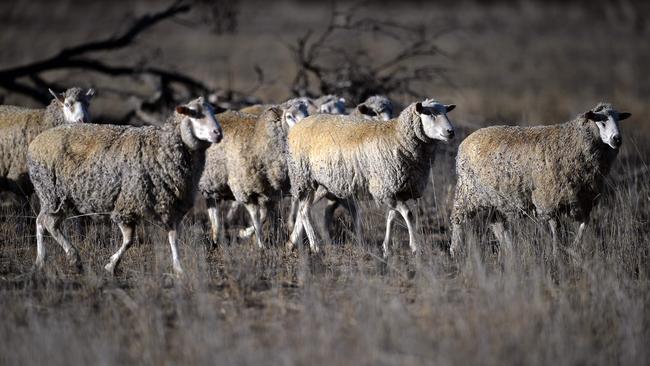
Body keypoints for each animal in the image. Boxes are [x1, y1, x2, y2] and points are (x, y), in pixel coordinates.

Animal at [27, 97, 221, 274]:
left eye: (213, 111)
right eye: (194, 113)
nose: (218, 133)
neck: (160, 148)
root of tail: (37, 141)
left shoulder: (171, 204)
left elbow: (173, 238)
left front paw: (179, 268)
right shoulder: (128, 204)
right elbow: (129, 240)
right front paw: (111, 265)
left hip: (54, 196)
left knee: (41, 222)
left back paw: (40, 261)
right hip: (51, 192)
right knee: (48, 222)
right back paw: (72, 257)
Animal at [197, 98, 308, 249]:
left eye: (307, 113)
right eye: (289, 116)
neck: (258, 139)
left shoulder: (270, 193)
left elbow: (264, 216)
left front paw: (245, 233)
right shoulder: (246, 190)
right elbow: (255, 217)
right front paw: (260, 245)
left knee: (215, 208)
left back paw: (217, 236)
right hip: (208, 183)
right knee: (212, 209)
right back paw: (216, 237)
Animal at [284, 98, 456, 256]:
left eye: (446, 112)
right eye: (429, 114)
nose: (451, 132)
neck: (397, 138)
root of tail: (299, 125)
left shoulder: (395, 190)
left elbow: (391, 217)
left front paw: (386, 249)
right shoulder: (384, 188)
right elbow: (408, 214)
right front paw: (415, 247)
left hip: (321, 185)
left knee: (303, 210)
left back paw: (291, 243)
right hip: (303, 177)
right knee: (304, 211)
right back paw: (315, 246)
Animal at [448, 103, 632, 258]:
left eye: (618, 121)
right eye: (601, 122)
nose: (617, 139)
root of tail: (467, 140)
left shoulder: (584, 198)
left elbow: (584, 225)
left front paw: (575, 248)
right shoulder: (549, 197)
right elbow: (556, 228)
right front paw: (556, 253)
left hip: (495, 198)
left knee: (497, 224)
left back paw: (510, 251)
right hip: (468, 192)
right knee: (458, 220)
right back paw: (455, 250)